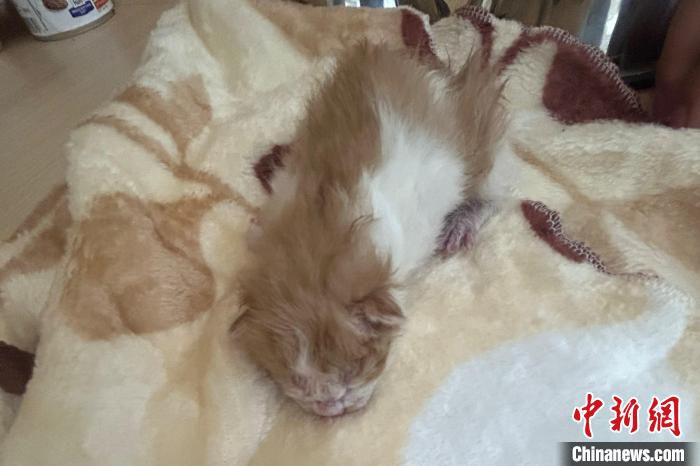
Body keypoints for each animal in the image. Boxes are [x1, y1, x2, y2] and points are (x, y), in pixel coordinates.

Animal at [233, 42, 504, 417]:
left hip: (481, 149)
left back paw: (460, 226)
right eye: (299, 381)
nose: (332, 403)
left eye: (353, 371)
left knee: (498, 193)